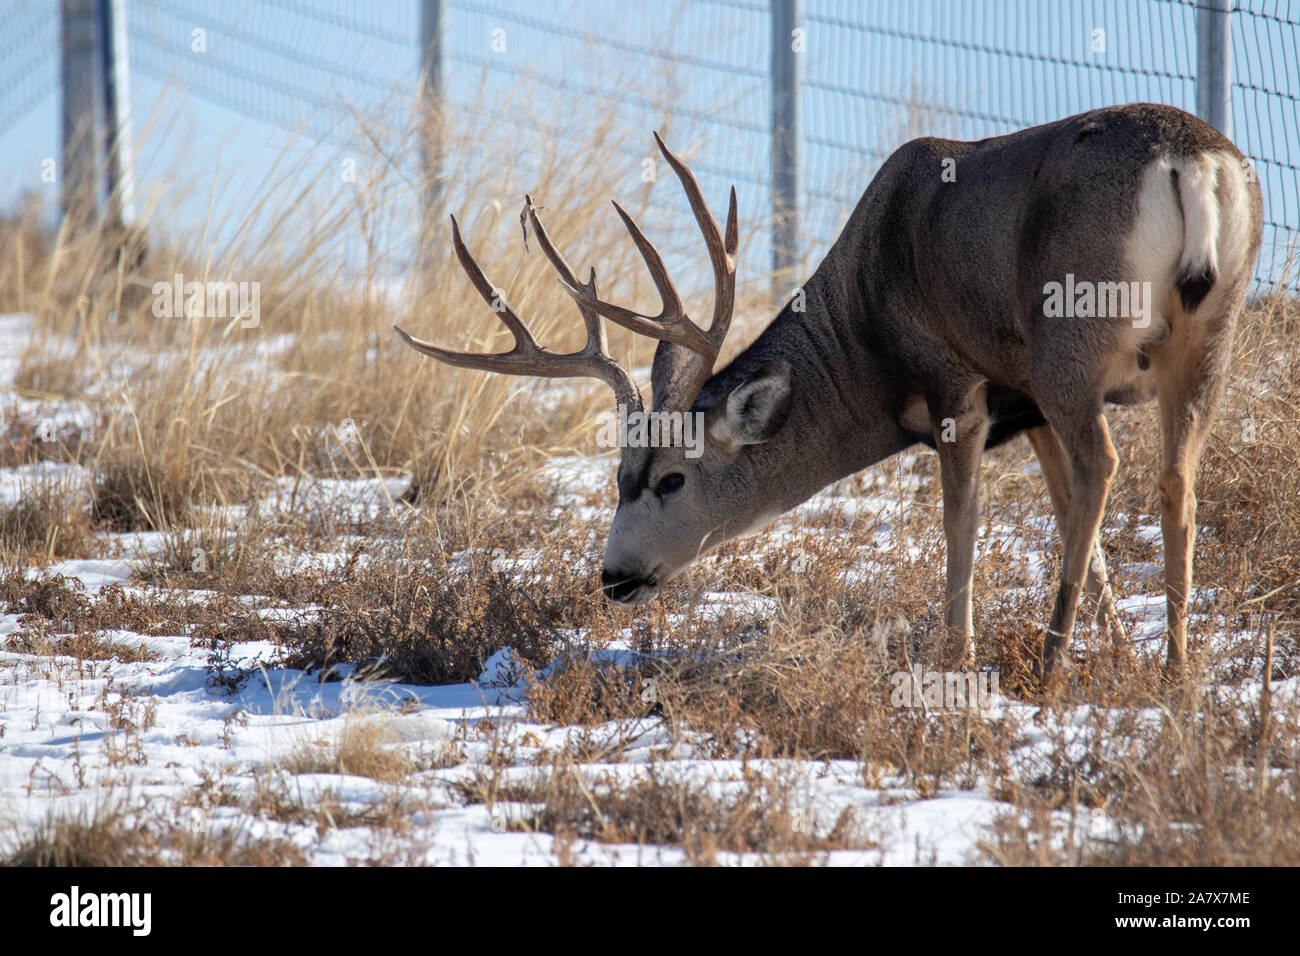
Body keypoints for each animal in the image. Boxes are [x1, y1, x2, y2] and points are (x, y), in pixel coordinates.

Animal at [396, 103, 1263, 682]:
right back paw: (1176, 670)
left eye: (672, 479)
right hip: (1205, 337)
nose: (615, 577)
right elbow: (1068, 513)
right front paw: (1115, 647)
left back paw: (1049, 664)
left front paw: (957, 653)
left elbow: (962, 521)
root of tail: (1191, 164)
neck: (862, 325)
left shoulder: (958, 382)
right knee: (1172, 477)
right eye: (616, 477)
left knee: (1106, 464)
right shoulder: (1021, 399)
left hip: (1070, 339)